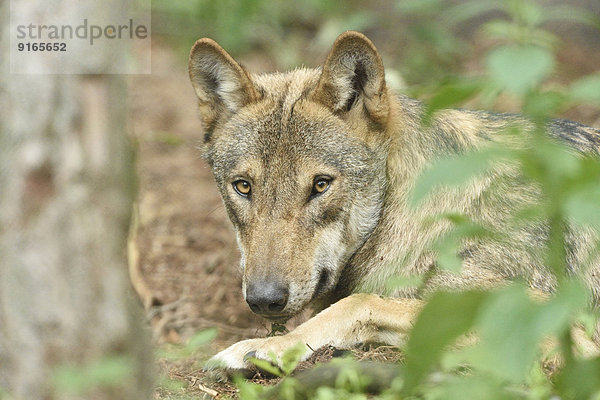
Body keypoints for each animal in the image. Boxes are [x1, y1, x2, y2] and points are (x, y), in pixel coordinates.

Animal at [189, 29, 600, 374]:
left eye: (320, 185)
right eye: (243, 187)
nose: (264, 299)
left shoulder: (558, 329)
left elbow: (359, 302)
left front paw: (262, 348)